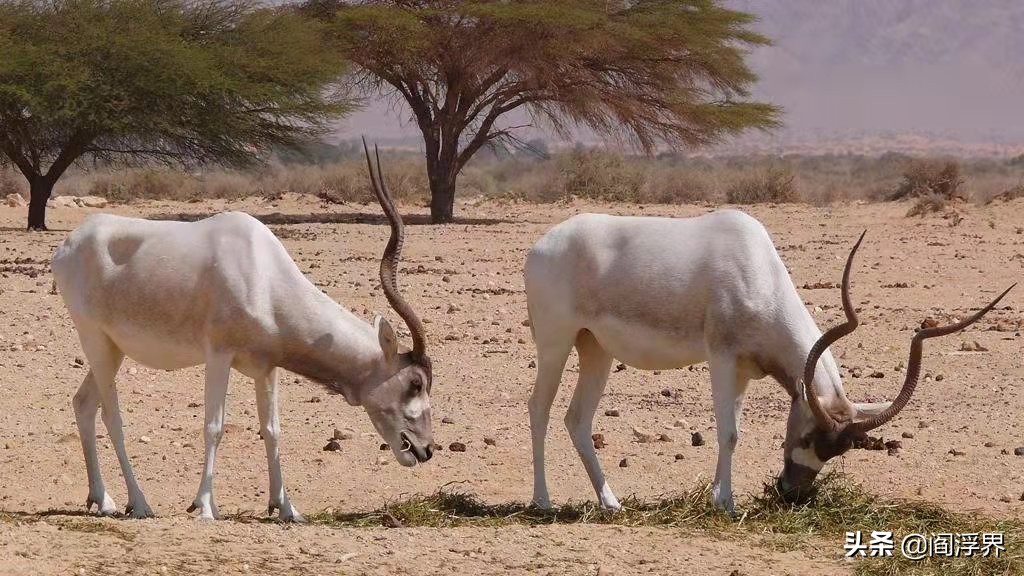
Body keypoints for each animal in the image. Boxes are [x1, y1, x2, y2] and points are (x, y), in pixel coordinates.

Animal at [50, 140, 432, 520]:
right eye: (415, 383)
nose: (426, 449)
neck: (263, 274)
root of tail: (67, 246)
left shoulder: (267, 367)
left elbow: (273, 430)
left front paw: (285, 507)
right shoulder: (219, 356)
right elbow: (214, 427)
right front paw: (205, 505)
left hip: (113, 349)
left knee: (83, 403)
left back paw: (102, 499)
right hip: (95, 340)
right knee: (111, 417)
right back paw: (139, 503)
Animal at [524, 208, 1011, 508]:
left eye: (838, 451)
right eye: (807, 437)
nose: (791, 493)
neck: (757, 269)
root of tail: (541, 246)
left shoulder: (742, 370)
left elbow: (732, 431)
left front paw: (716, 495)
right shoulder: (721, 357)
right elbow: (729, 432)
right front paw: (726, 504)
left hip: (596, 349)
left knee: (577, 419)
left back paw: (611, 502)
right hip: (556, 343)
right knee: (539, 408)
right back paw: (542, 501)